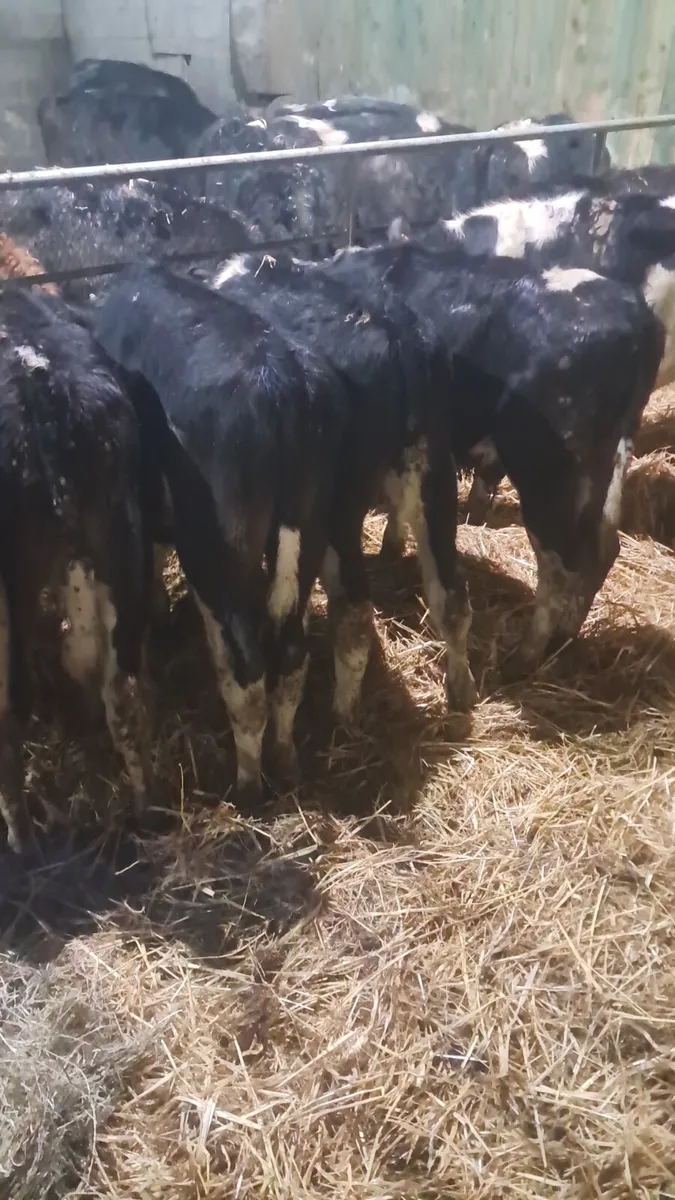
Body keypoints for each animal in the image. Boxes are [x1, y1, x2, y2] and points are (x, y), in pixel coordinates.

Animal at [91, 265, 347, 798]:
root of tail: (283, 384)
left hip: (218, 550)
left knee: (245, 671)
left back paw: (247, 785)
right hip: (310, 524)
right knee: (290, 653)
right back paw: (285, 760)